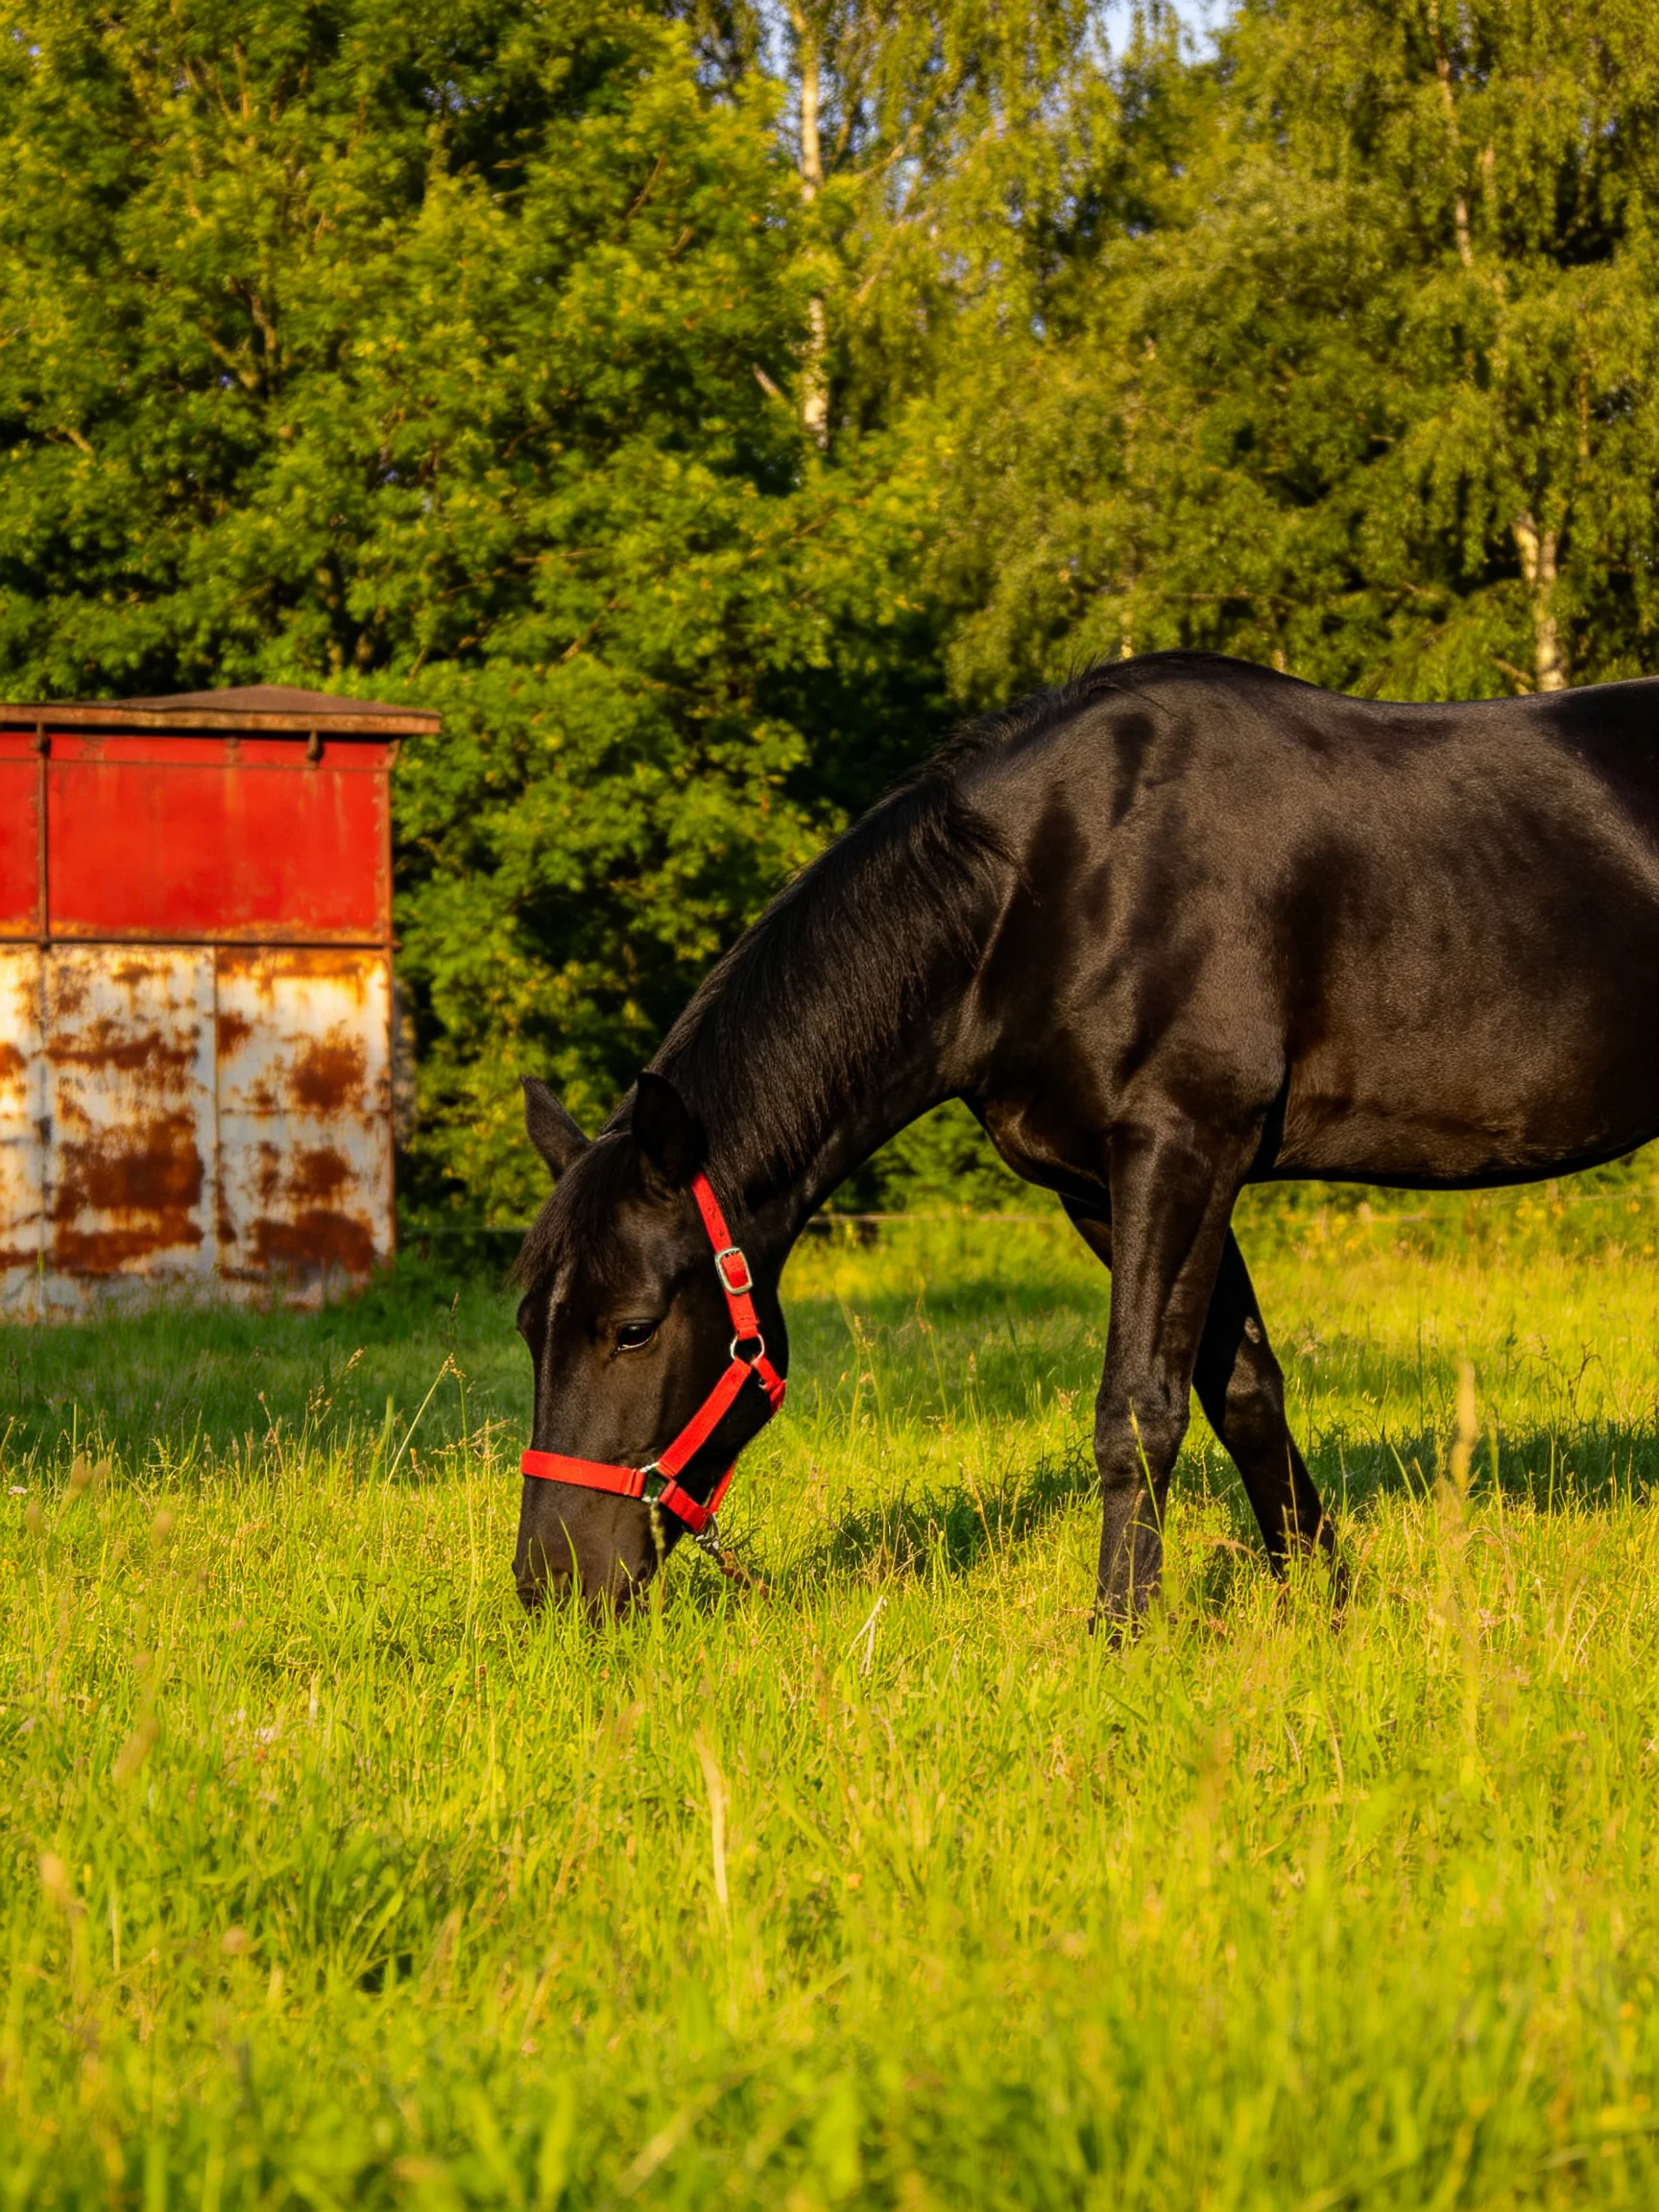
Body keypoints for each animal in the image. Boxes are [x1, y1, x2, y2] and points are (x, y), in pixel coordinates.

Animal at [509, 650, 1659, 1622]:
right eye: (527, 1327)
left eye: (633, 1329)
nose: (552, 1582)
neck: (1054, 887)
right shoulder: (1111, 1187)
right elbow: (1242, 1392)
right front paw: (1323, 1605)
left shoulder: (1182, 1147)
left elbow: (1138, 1412)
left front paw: (1122, 1633)